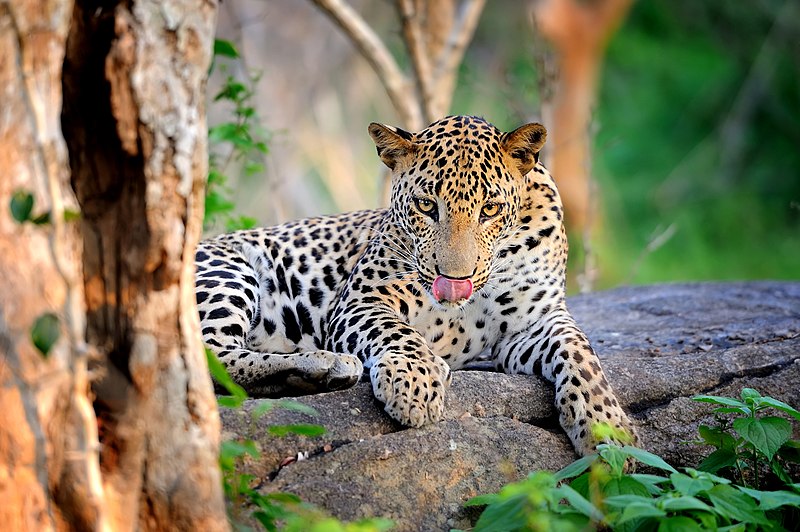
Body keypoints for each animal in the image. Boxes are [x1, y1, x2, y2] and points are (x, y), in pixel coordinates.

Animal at [195, 115, 636, 455]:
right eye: (427, 206)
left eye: (490, 209)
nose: (455, 281)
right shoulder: (361, 301)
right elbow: (396, 330)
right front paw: (415, 381)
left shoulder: (534, 322)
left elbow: (581, 352)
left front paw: (608, 427)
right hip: (228, 268)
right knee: (210, 357)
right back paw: (324, 365)